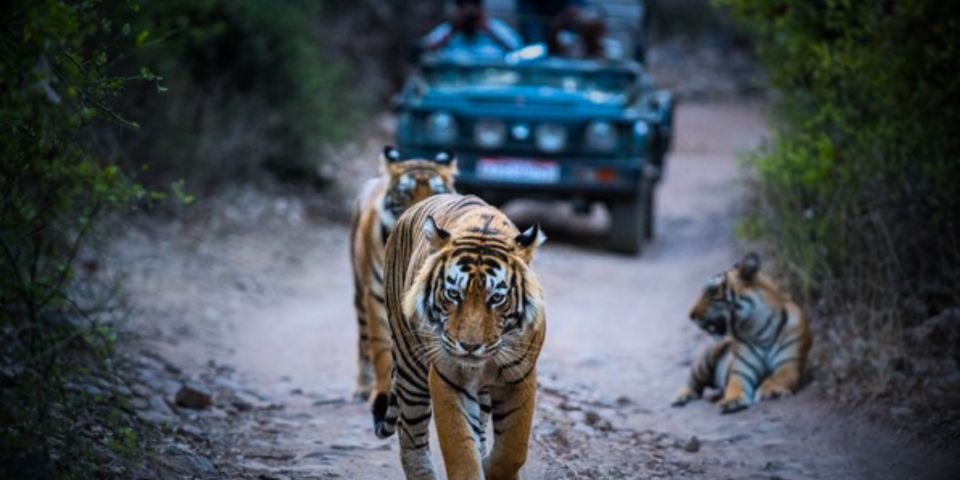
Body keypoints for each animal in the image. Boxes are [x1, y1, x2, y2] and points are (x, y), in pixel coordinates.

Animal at [350, 146, 456, 403]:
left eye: (437, 192)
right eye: (405, 194)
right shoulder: (376, 295)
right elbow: (380, 347)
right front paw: (382, 390)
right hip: (359, 291)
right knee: (363, 339)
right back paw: (362, 387)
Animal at [377, 193, 547, 480]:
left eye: (497, 298)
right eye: (453, 294)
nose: (469, 346)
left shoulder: (521, 376)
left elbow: (513, 449)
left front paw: (492, 467)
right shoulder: (448, 377)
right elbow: (461, 449)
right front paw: (478, 466)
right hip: (410, 366)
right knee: (411, 435)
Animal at [672, 252, 812, 413]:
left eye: (712, 291)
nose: (691, 315)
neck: (759, 329)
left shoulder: (789, 363)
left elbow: (779, 377)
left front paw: (770, 391)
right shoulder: (741, 371)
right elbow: (735, 385)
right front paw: (731, 401)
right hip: (706, 359)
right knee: (693, 383)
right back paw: (680, 397)